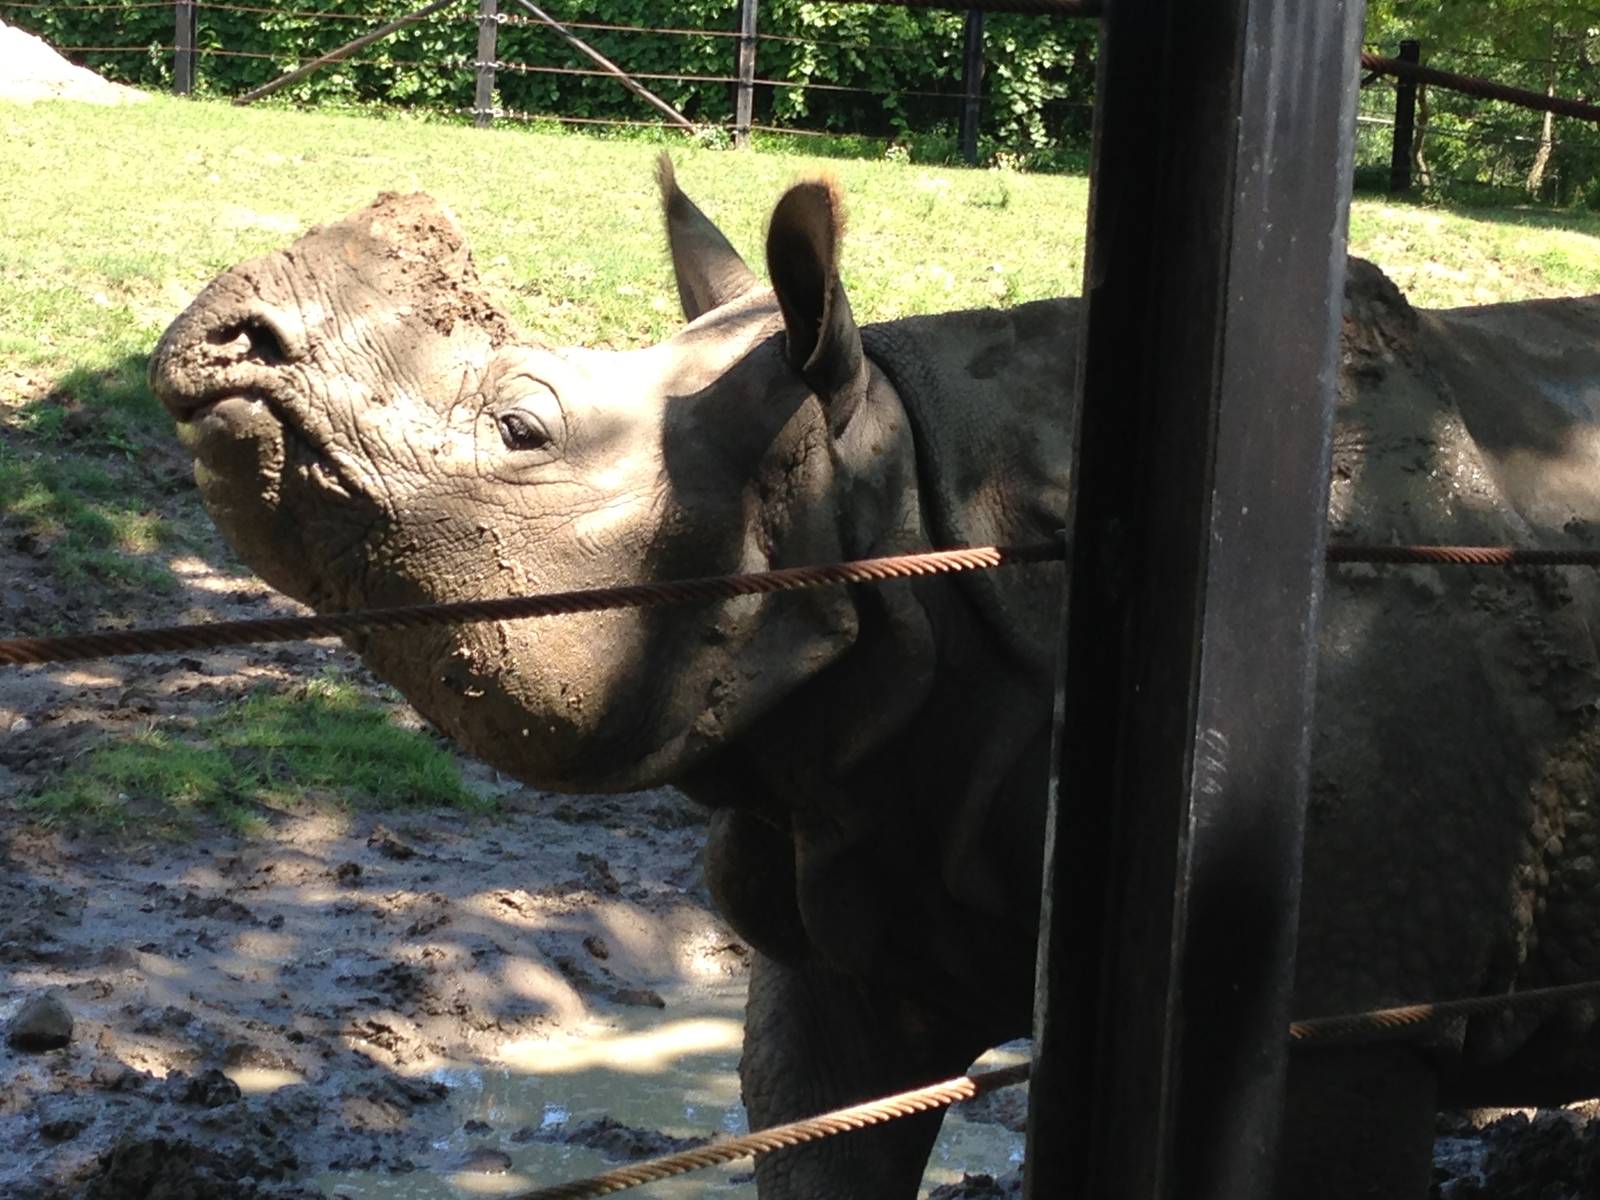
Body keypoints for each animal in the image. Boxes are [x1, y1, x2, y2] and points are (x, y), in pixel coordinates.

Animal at [149, 158, 1600, 1199]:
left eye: (520, 426)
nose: (225, 338)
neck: (897, 510)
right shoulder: (849, 881)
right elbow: (820, 1134)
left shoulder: (1345, 1008)